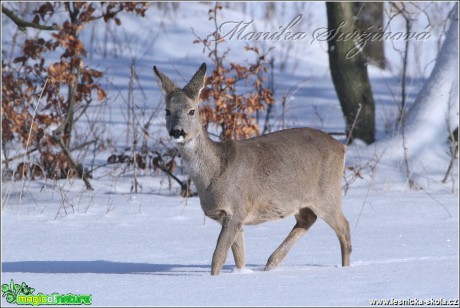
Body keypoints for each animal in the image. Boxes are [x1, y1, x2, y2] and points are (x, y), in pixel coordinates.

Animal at [153, 62, 350, 274]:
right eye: (167, 110)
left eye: (192, 111)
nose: (177, 131)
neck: (214, 173)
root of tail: (342, 147)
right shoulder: (231, 216)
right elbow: (240, 258)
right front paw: (242, 274)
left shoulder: (236, 208)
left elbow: (217, 258)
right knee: (307, 219)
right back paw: (271, 263)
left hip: (327, 193)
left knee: (344, 227)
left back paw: (345, 268)